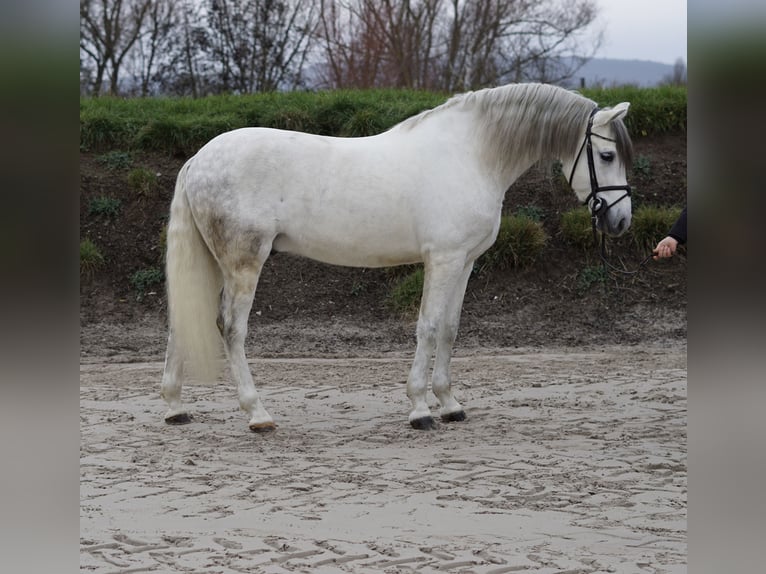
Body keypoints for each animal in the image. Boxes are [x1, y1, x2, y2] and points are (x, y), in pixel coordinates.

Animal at [159, 82, 632, 432]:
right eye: (607, 155)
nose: (621, 220)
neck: (470, 154)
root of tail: (198, 159)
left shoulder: (464, 262)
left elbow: (450, 330)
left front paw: (450, 403)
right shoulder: (442, 259)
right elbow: (428, 327)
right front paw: (420, 409)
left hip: (212, 263)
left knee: (184, 319)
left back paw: (175, 407)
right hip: (243, 262)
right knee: (231, 328)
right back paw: (257, 414)